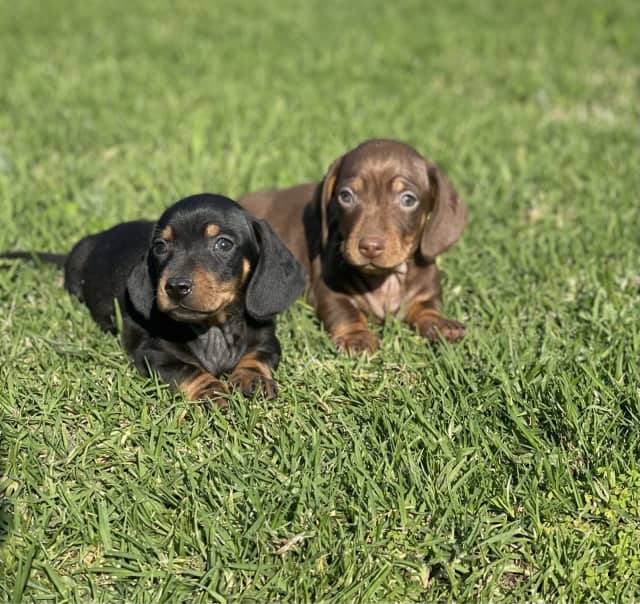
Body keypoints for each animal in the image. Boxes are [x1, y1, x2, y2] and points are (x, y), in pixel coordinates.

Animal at [0, 193, 304, 402]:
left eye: (223, 243)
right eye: (160, 246)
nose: (176, 287)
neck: (213, 327)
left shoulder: (268, 342)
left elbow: (256, 356)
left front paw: (251, 379)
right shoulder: (153, 354)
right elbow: (188, 370)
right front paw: (211, 391)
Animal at [238, 139, 468, 352]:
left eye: (408, 200)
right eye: (346, 196)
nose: (370, 246)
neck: (385, 279)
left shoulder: (426, 293)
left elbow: (427, 308)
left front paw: (440, 323)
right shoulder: (329, 291)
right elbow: (346, 313)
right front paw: (356, 336)